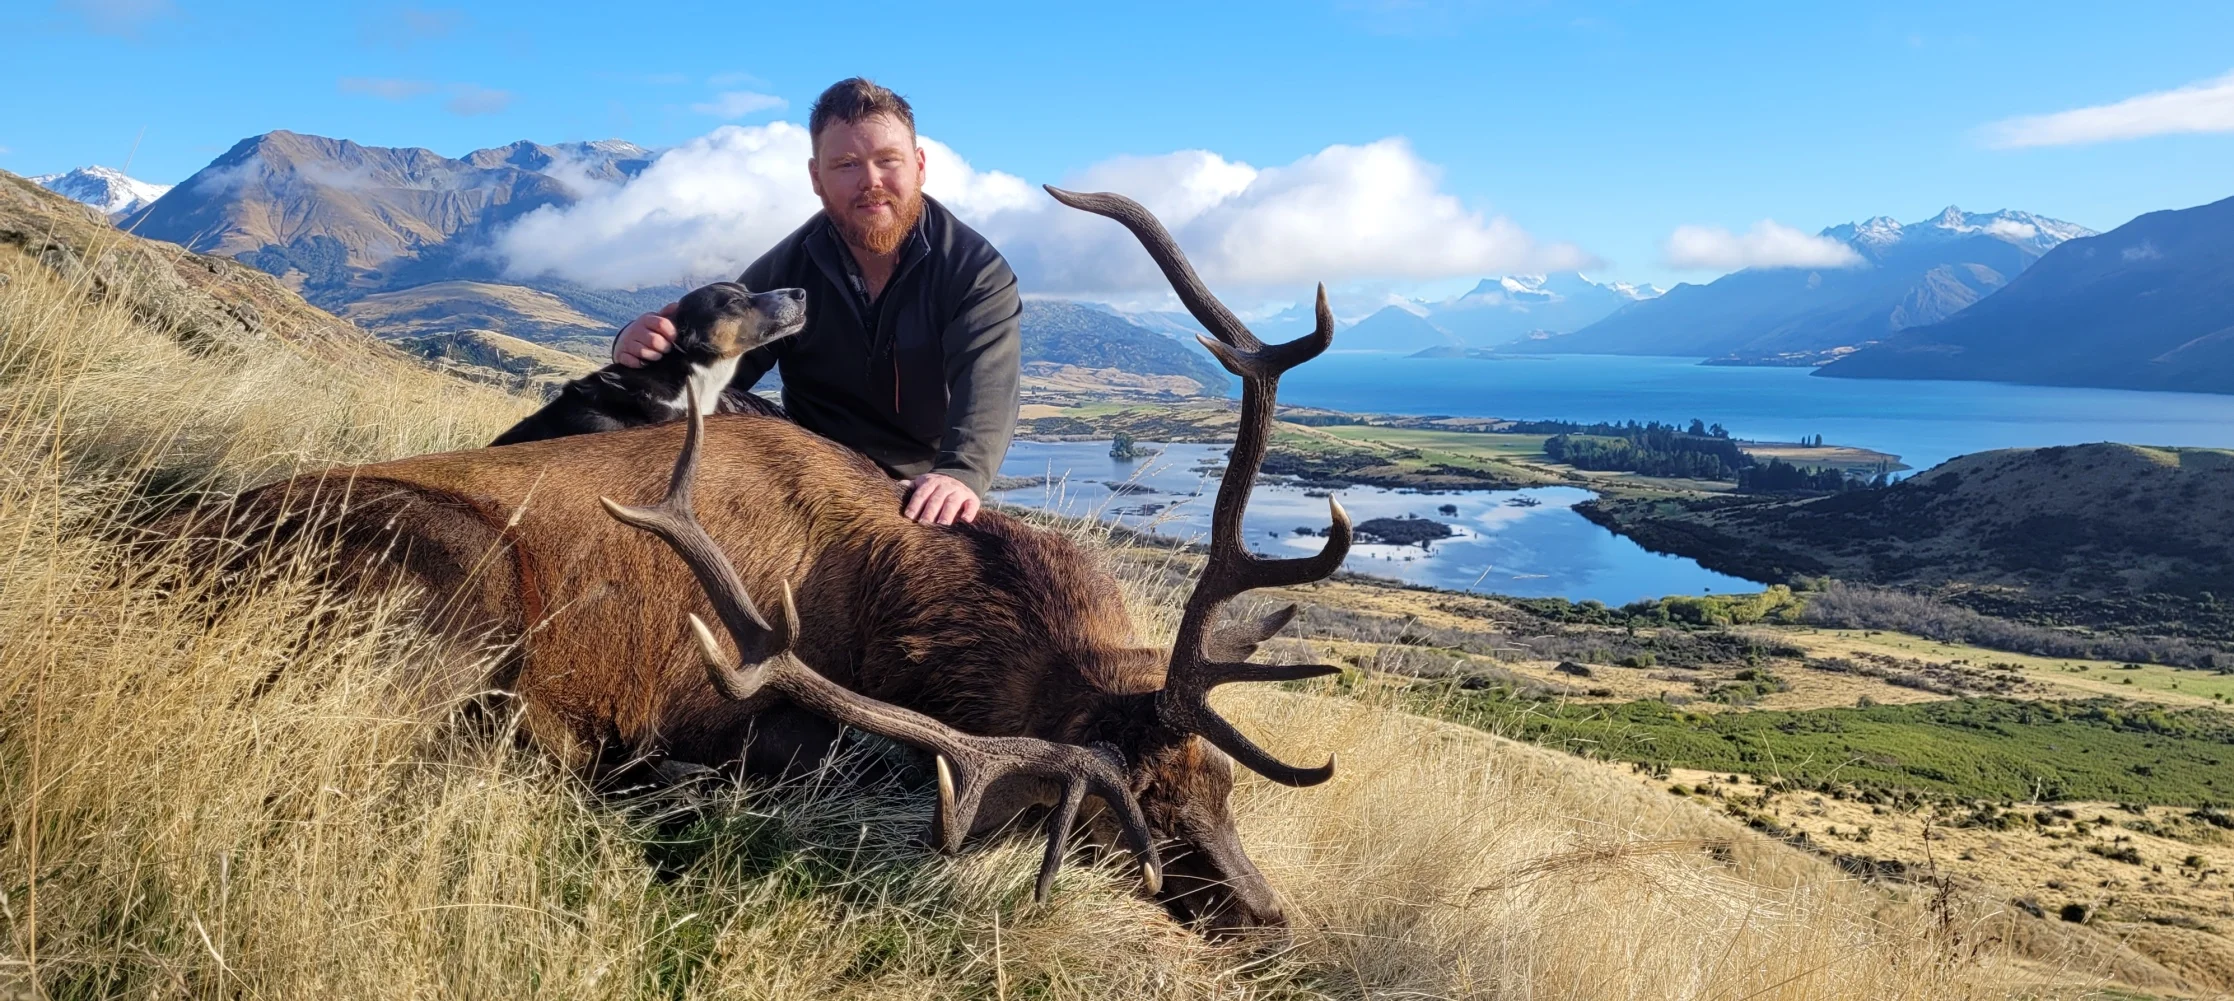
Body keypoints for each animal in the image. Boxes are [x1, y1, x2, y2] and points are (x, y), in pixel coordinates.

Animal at [181, 187, 1354, 934]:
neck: (899, 618)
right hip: (450, 591)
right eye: (1138, 812)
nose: (1269, 918)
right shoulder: (748, 713)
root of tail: (169, 544)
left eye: (1221, 781)